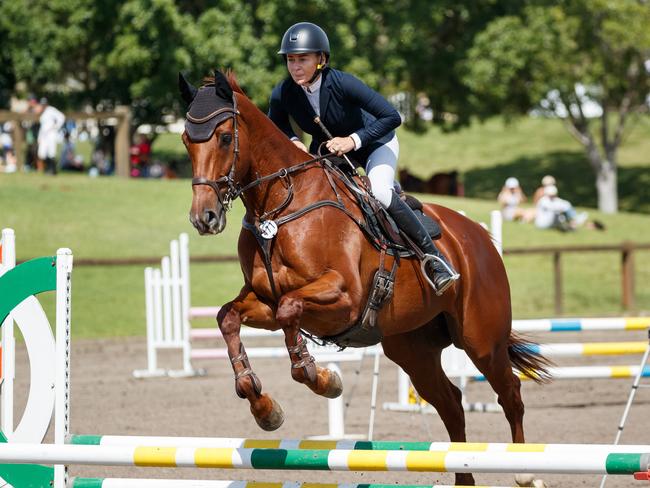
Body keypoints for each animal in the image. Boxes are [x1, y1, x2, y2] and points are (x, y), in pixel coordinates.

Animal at [178, 70, 548, 486]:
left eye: (225, 137)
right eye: (186, 140)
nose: (204, 217)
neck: (279, 206)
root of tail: (478, 236)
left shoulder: (344, 298)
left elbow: (291, 310)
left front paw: (322, 378)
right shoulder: (264, 301)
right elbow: (230, 317)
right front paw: (264, 407)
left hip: (481, 339)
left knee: (510, 392)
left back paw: (526, 473)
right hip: (412, 348)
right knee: (451, 403)